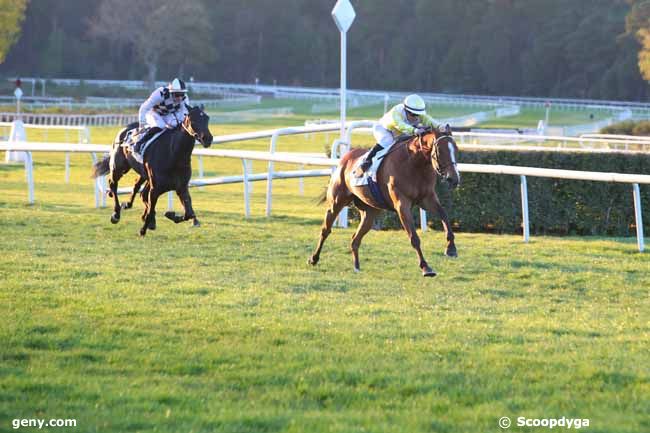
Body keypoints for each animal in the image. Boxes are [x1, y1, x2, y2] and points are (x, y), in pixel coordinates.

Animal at [92, 105, 213, 236]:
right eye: (192, 120)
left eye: (207, 118)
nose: (208, 138)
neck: (174, 154)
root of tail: (125, 129)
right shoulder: (155, 188)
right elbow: (150, 207)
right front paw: (143, 229)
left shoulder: (181, 187)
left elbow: (189, 213)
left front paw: (170, 214)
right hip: (118, 167)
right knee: (113, 184)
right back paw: (116, 214)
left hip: (143, 174)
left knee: (137, 187)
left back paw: (129, 205)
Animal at [308, 125, 456, 276]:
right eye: (440, 151)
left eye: (455, 148)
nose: (454, 179)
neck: (414, 164)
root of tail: (346, 158)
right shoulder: (402, 205)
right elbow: (414, 237)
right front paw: (426, 267)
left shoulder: (427, 199)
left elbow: (444, 215)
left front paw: (451, 249)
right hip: (337, 201)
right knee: (326, 229)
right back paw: (314, 258)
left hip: (369, 212)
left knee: (355, 239)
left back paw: (357, 267)